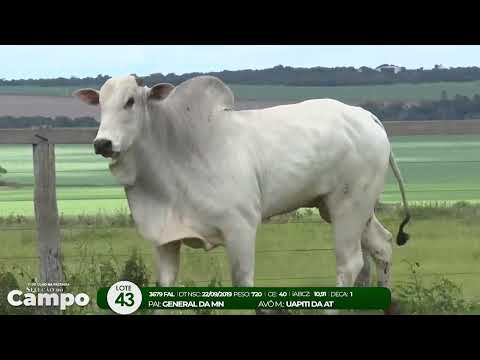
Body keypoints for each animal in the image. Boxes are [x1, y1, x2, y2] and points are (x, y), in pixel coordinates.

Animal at [74, 74, 408, 312]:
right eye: (100, 104)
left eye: (130, 101)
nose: (102, 143)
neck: (176, 152)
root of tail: (367, 117)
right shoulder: (165, 240)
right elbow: (164, 286)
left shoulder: (240, 228)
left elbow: (242, 283)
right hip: (348, 208)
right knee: (381, 247)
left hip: (347, 207)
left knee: (350, 265)